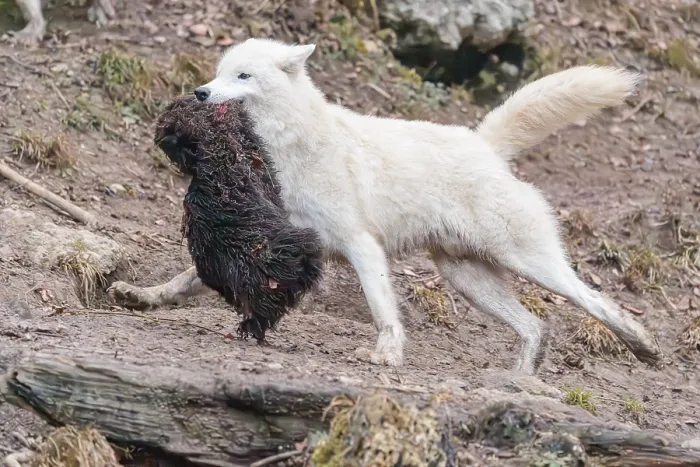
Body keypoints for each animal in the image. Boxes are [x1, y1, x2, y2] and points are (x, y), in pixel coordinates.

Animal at [110, 38, 661, 374]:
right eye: (218, 72)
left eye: (242, 76)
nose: (201, 92)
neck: (284, 149)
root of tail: (484, 144)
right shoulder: (271, 240)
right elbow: (187, 278)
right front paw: (142, 296)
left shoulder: (360, 245)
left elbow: (381, 307)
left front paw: (387, 354)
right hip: (469, 280)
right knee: (536, 326)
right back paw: (520, 380)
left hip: (531, 264)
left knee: (593, 300)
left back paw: (644, 345)